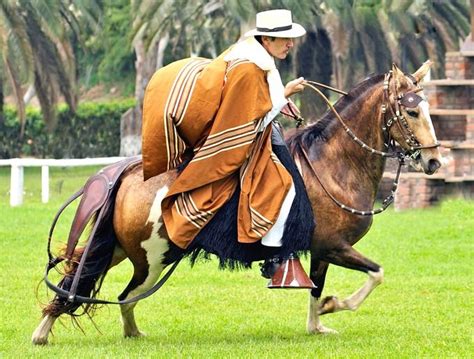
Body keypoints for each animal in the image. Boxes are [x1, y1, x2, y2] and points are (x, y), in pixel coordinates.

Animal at [32, 62, 440, 346]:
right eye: (412, 112)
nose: (434, 161)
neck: (332, 164)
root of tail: (132, 174)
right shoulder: (333, 246)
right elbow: (375, 274)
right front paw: (333, 306)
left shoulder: (322, 250)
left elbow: (317, 288)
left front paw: (318, 323)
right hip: (152, 257)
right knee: (120, 295)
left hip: (121, 247)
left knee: (84, 281)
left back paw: (53, 331)